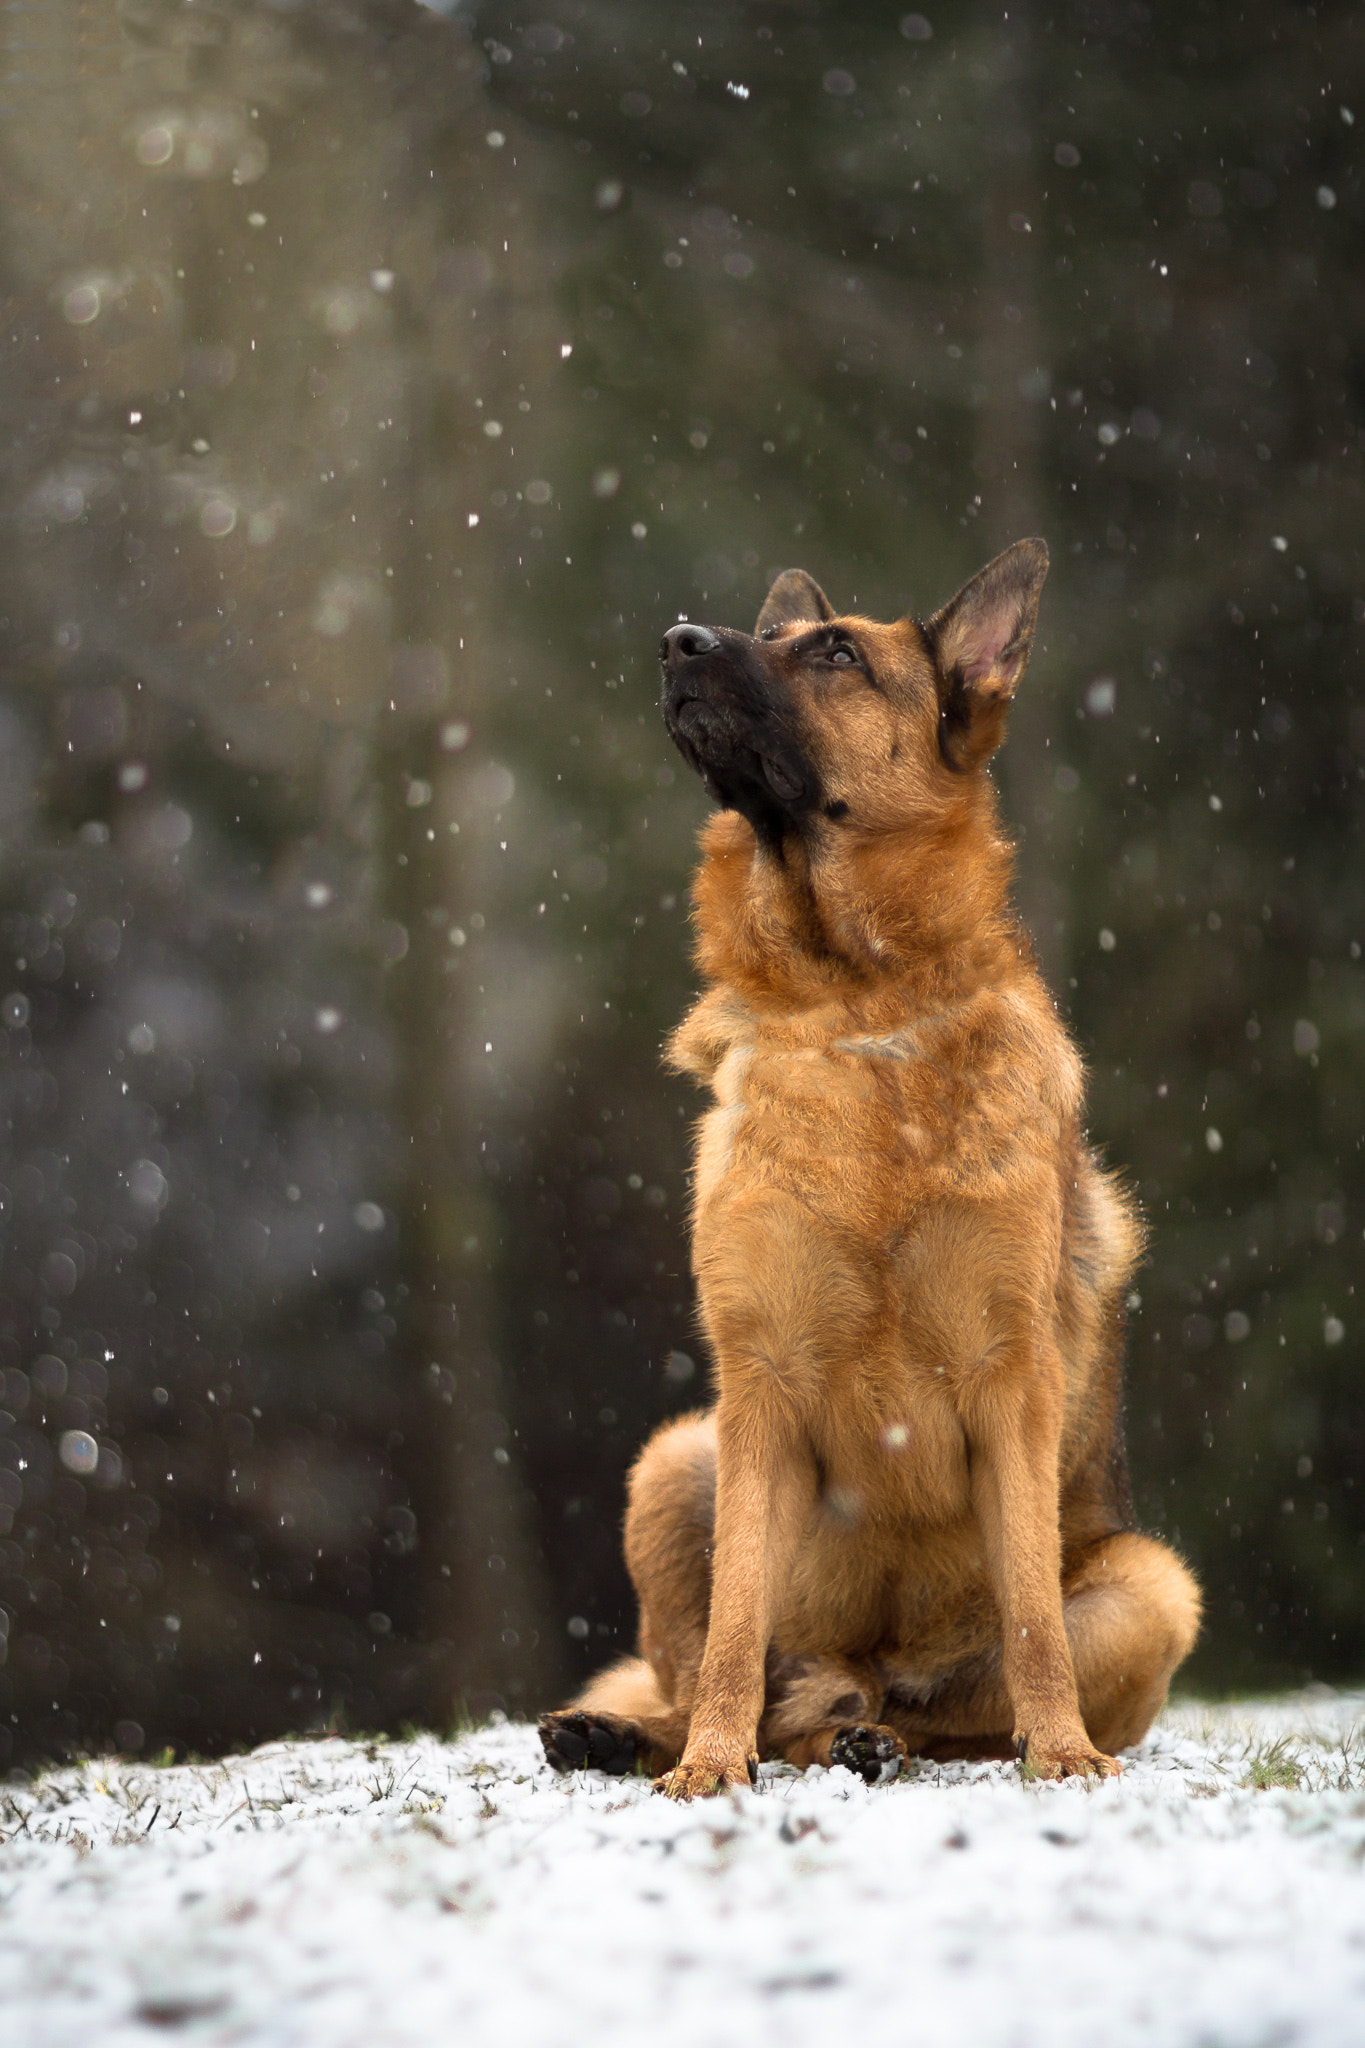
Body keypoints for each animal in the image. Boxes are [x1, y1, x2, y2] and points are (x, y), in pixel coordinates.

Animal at [540, 540, 1203, 1794]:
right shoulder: (755, 1387)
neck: (858, 1006)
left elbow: (1033, 1618)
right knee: (724, 1675)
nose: (676, 640)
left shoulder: (1010, 1383)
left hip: (1154, 1583)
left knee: (939, 1707)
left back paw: (879, 1734)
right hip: (675, 1456)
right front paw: (708, 1767)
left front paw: (1062, 1753)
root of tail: (865, 1664)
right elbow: (734, 1625)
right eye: (780, 637)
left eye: (838, 654)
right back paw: (638, 1733)